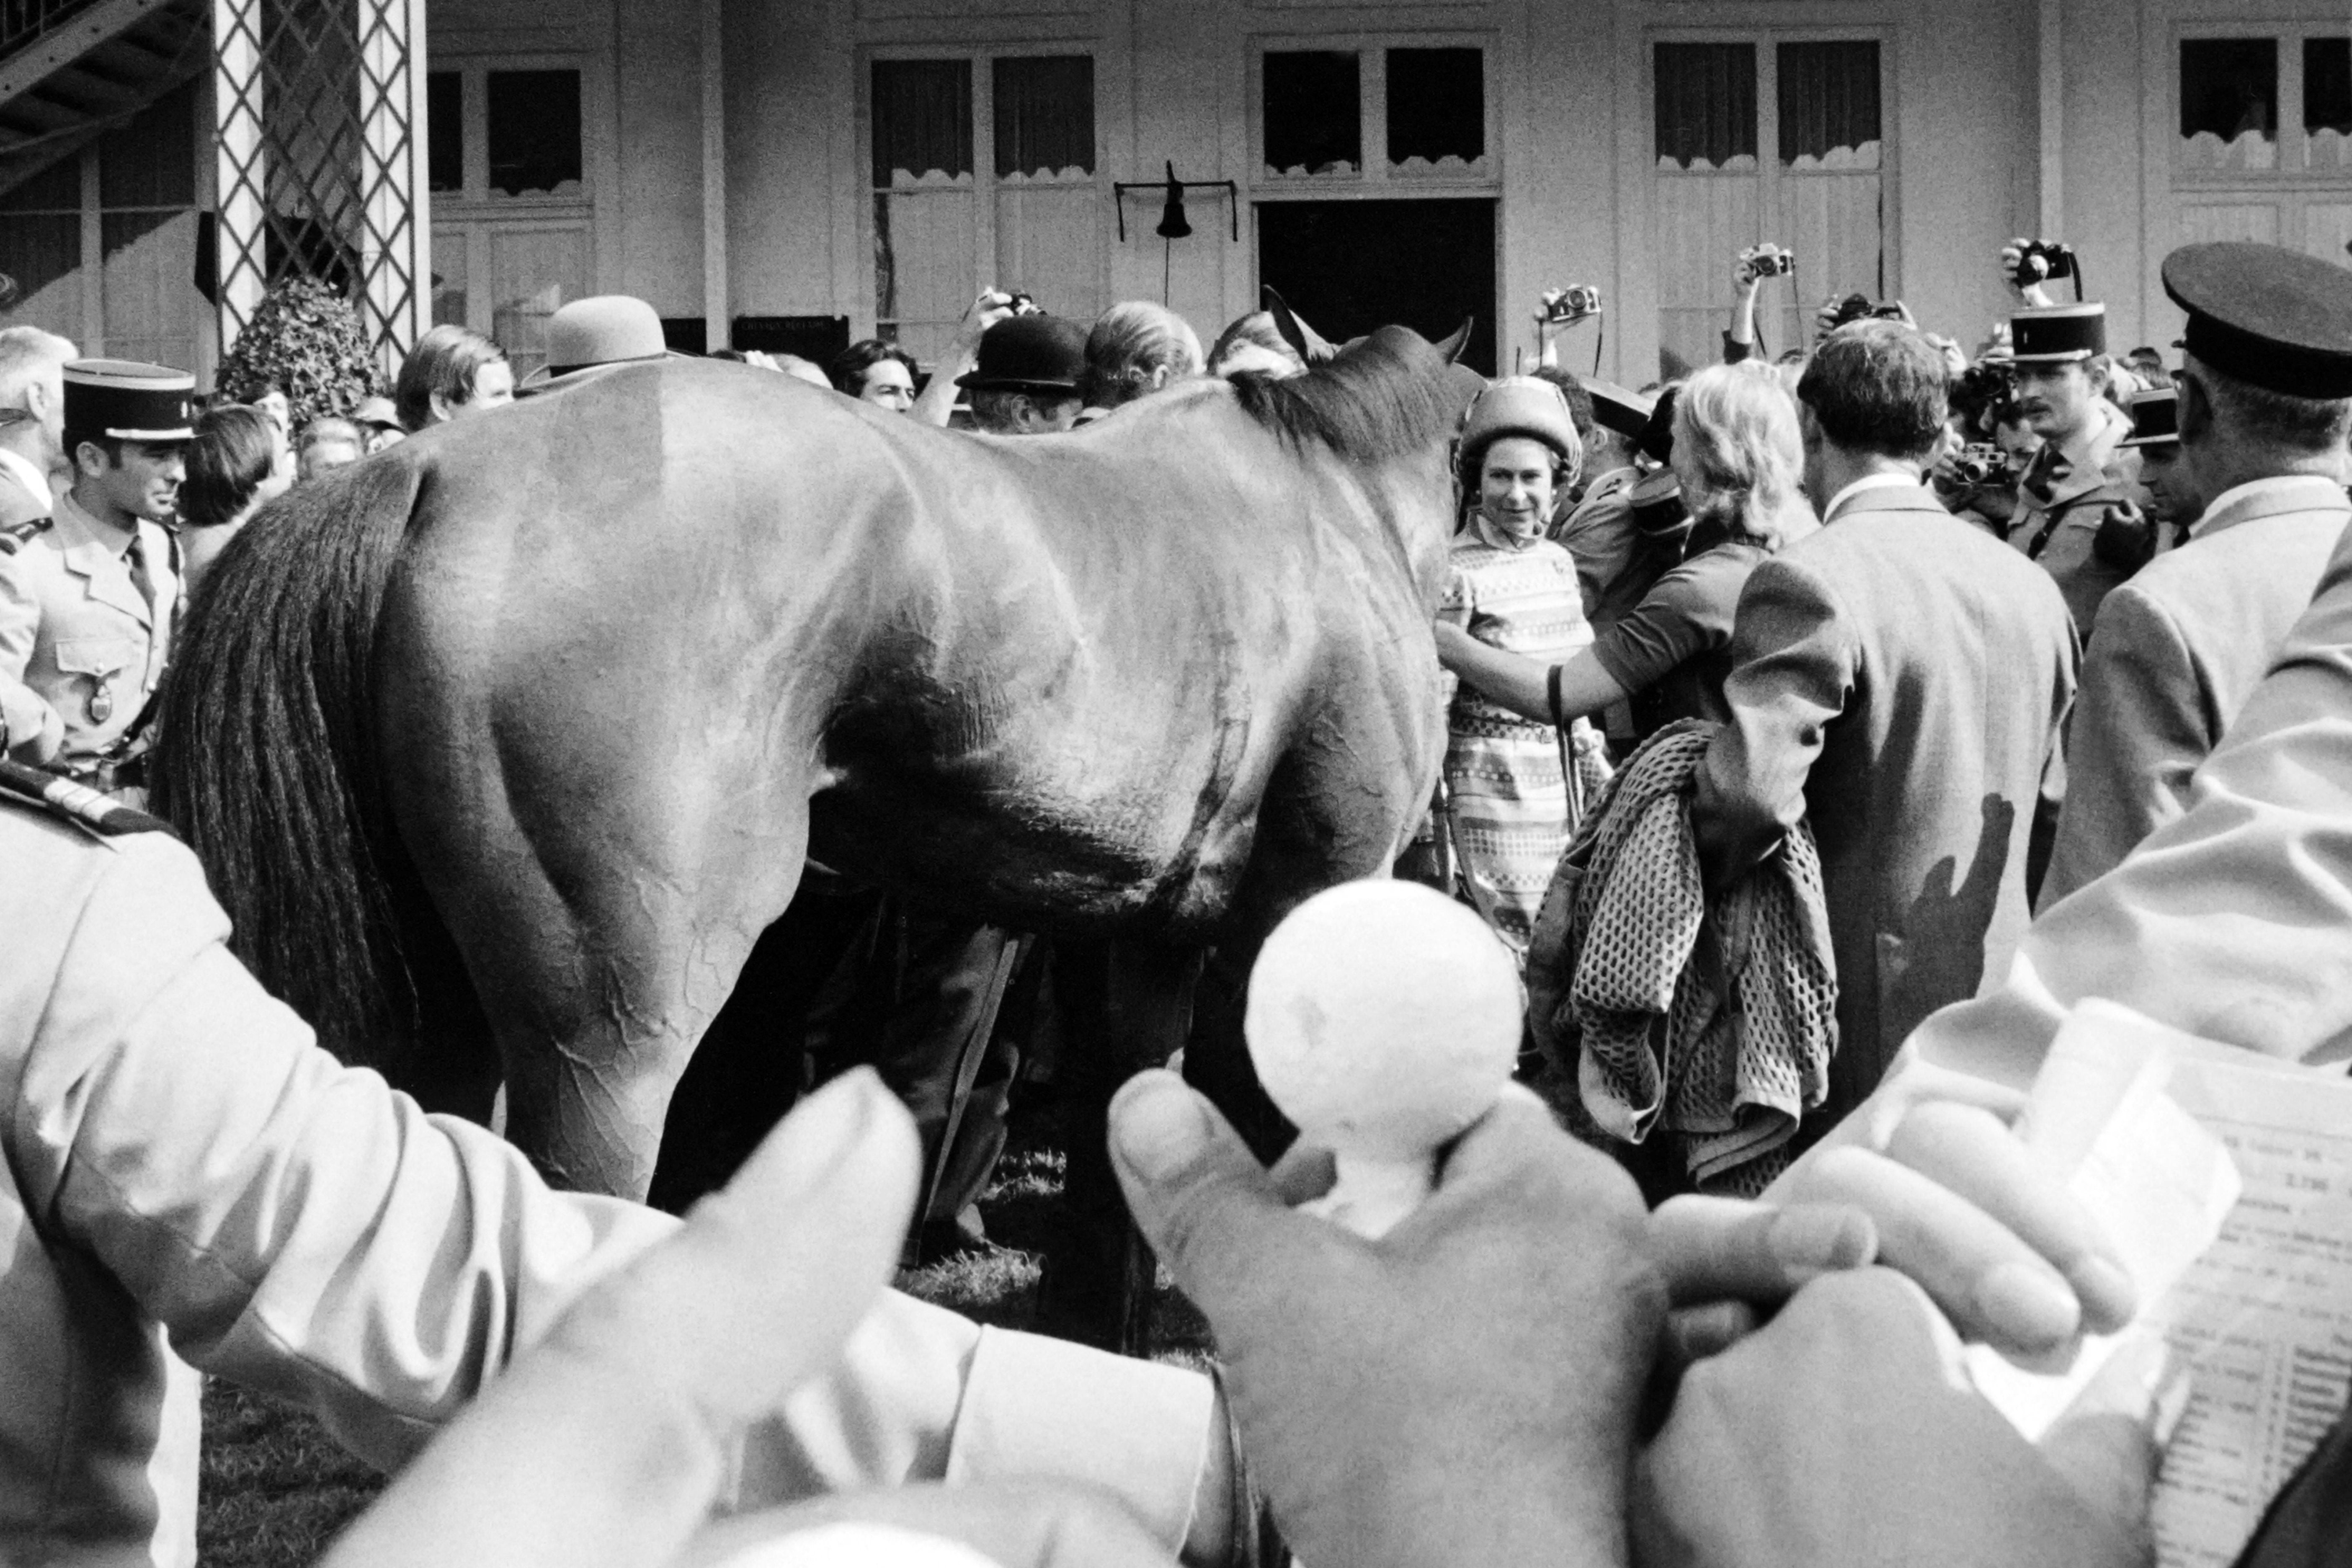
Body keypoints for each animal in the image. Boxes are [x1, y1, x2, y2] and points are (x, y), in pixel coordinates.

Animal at [156, 322, 1467, 1222]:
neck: (1322, 497)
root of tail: (424, 471)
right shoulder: (1318, 890)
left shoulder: (1154, 933)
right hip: (610, 1033)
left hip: (445, 1004)